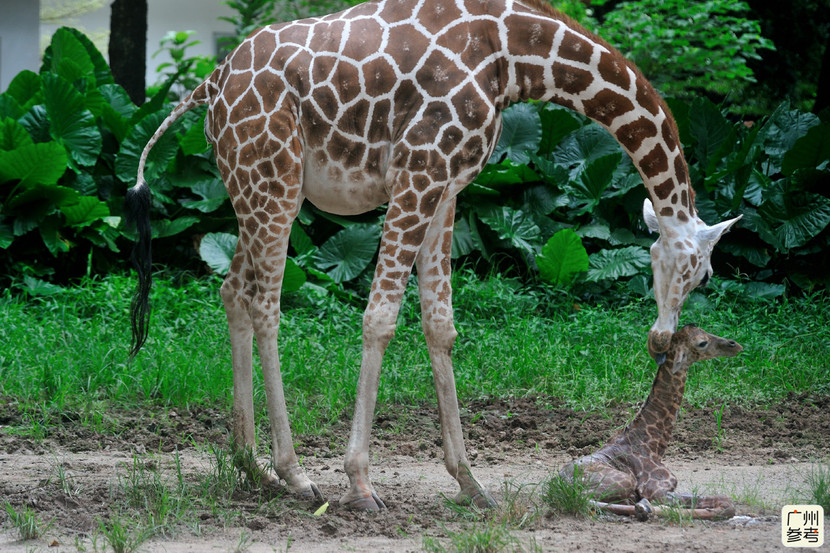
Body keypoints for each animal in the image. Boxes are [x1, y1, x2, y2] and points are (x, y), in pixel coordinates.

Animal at [564, 322, 744, 520]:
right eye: (702, 342)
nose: (734, 345)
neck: (655, 446)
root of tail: (556, 484)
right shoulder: (657, 490)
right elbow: (726, 502)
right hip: (624, 480)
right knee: (584, 500)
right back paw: (643, 508)